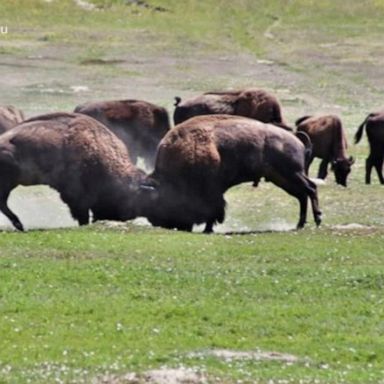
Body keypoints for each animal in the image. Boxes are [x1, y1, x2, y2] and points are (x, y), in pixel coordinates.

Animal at [0, 112, 146, 231]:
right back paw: (19, 225)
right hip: (8, 183)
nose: (126, 216)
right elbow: (81, 212)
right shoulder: (76, 195)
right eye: (128, 196)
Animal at [140, 115, 322, 234]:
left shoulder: (213, 192)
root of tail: (296, 139)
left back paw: (318, 219)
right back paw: (300, 224)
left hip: (292, 174)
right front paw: (208, 229)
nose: (161, 224)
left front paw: (208, 229)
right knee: (302, 195)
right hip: (282, 178)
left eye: (161, 202)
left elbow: (214, 210)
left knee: (311, 188)